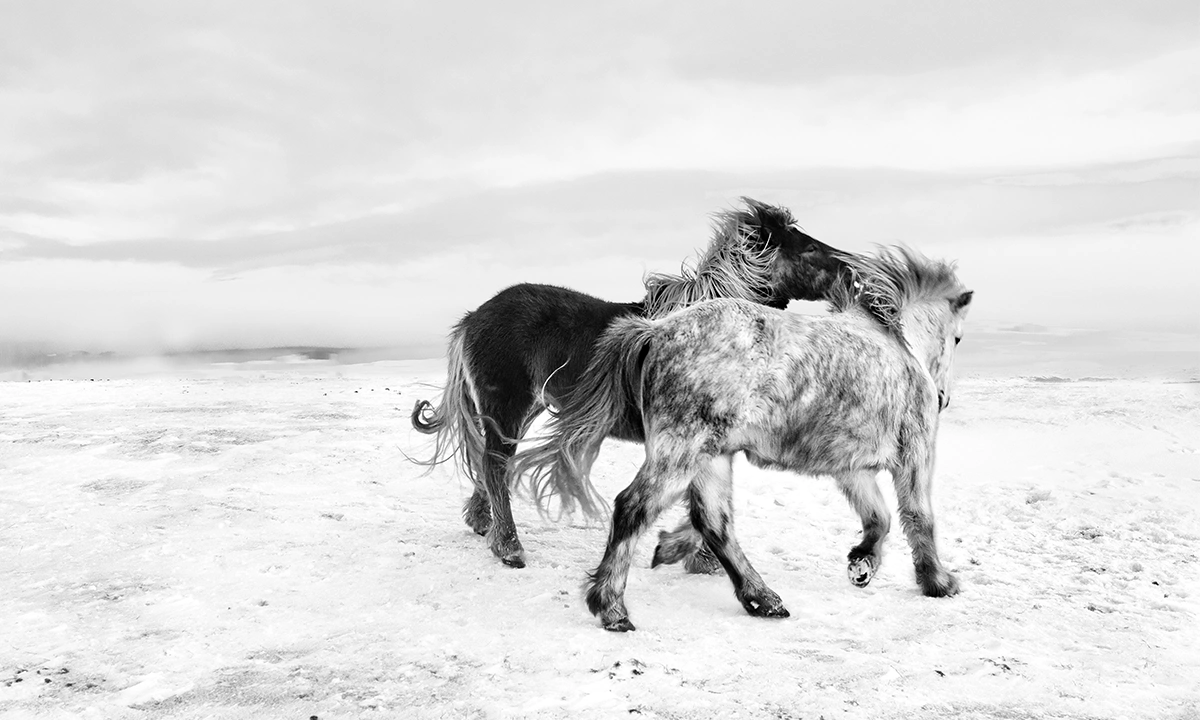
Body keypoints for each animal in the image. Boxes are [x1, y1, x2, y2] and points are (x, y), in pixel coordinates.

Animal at [412, 196, 854, 568]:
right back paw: (509, 547)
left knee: (492, 467)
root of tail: (474, 316)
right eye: (808, 248)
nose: (852, 271)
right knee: (495, 465)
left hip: (526, 406)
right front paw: (702, 558)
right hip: (507, 404)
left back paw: (482, 523)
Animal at [513, 247, 964, 628]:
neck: (895, 344)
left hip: (709, 456)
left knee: (715, 522)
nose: (943, 399)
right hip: (683, 452)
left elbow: (878, 517)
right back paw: (611, 607)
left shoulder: (850, 468)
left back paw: (762, 599)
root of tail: (656, 331)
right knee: (634, 508)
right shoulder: (914, 454)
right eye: (957, 338)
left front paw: (862, 564)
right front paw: (937, 582)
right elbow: (918, 517)